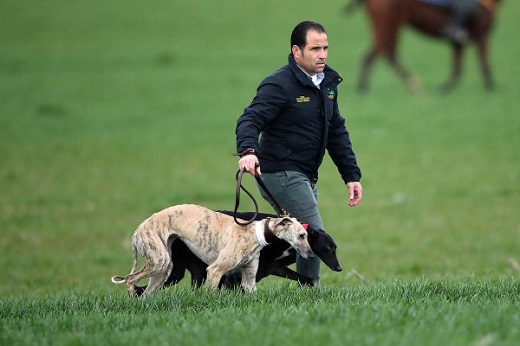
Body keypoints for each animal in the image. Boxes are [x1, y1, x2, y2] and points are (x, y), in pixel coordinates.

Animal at [346, 0, 500, 92]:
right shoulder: (481, 36)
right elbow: (484, 62)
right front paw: (491, 87)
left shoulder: (458, 42)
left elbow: (457, 68)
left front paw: (445, 87)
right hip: (387, 27)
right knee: (380, 56)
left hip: (389, 28)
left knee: (382, 56)